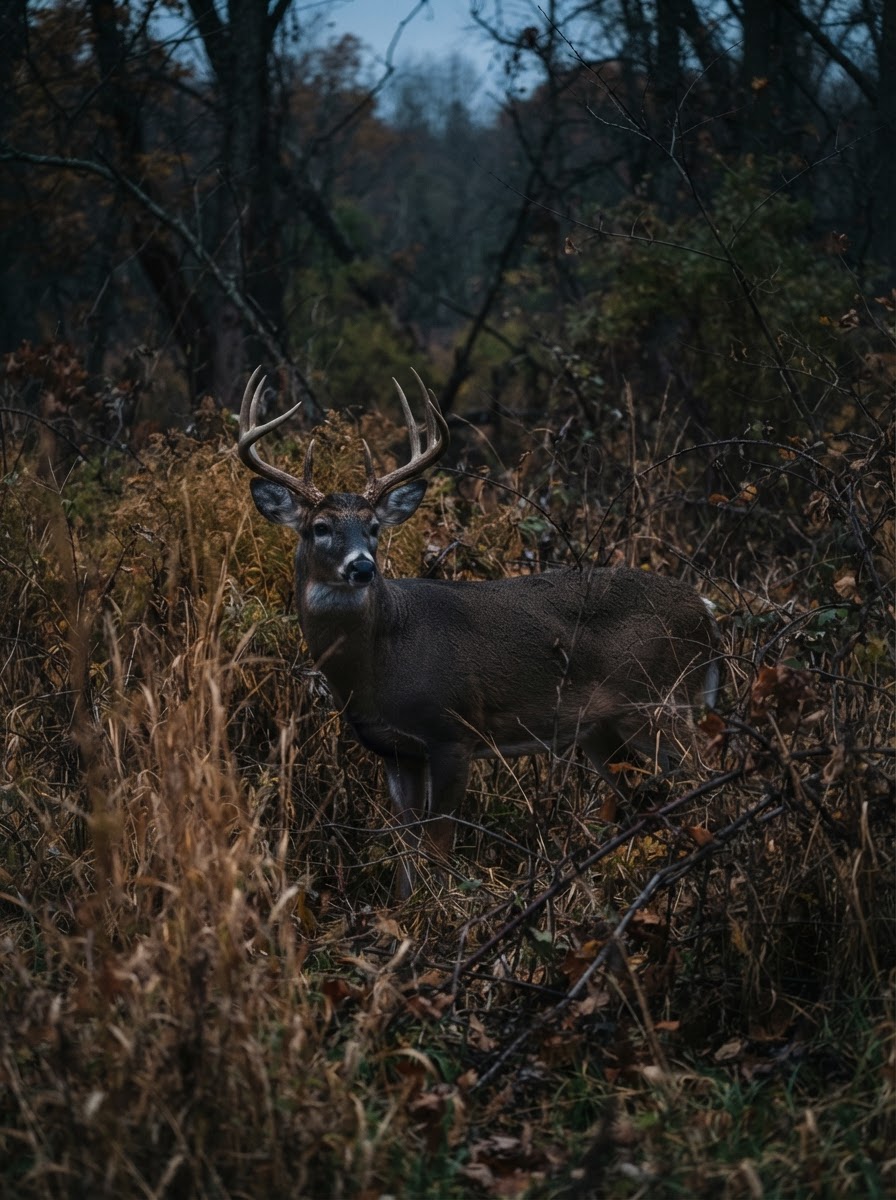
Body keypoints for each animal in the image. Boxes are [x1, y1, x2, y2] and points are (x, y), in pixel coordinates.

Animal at [238, 368, 720, 896]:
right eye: (320, 527)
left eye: (374, 527)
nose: (362, 567)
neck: (381, 661)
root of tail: (706, 609)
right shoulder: (395, 750)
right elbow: (406, 851)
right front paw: (404, 909)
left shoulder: (454, 730)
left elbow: (438, 847)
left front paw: (439, 909)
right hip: (603, 730)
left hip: (661, 700)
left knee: (706, 772)